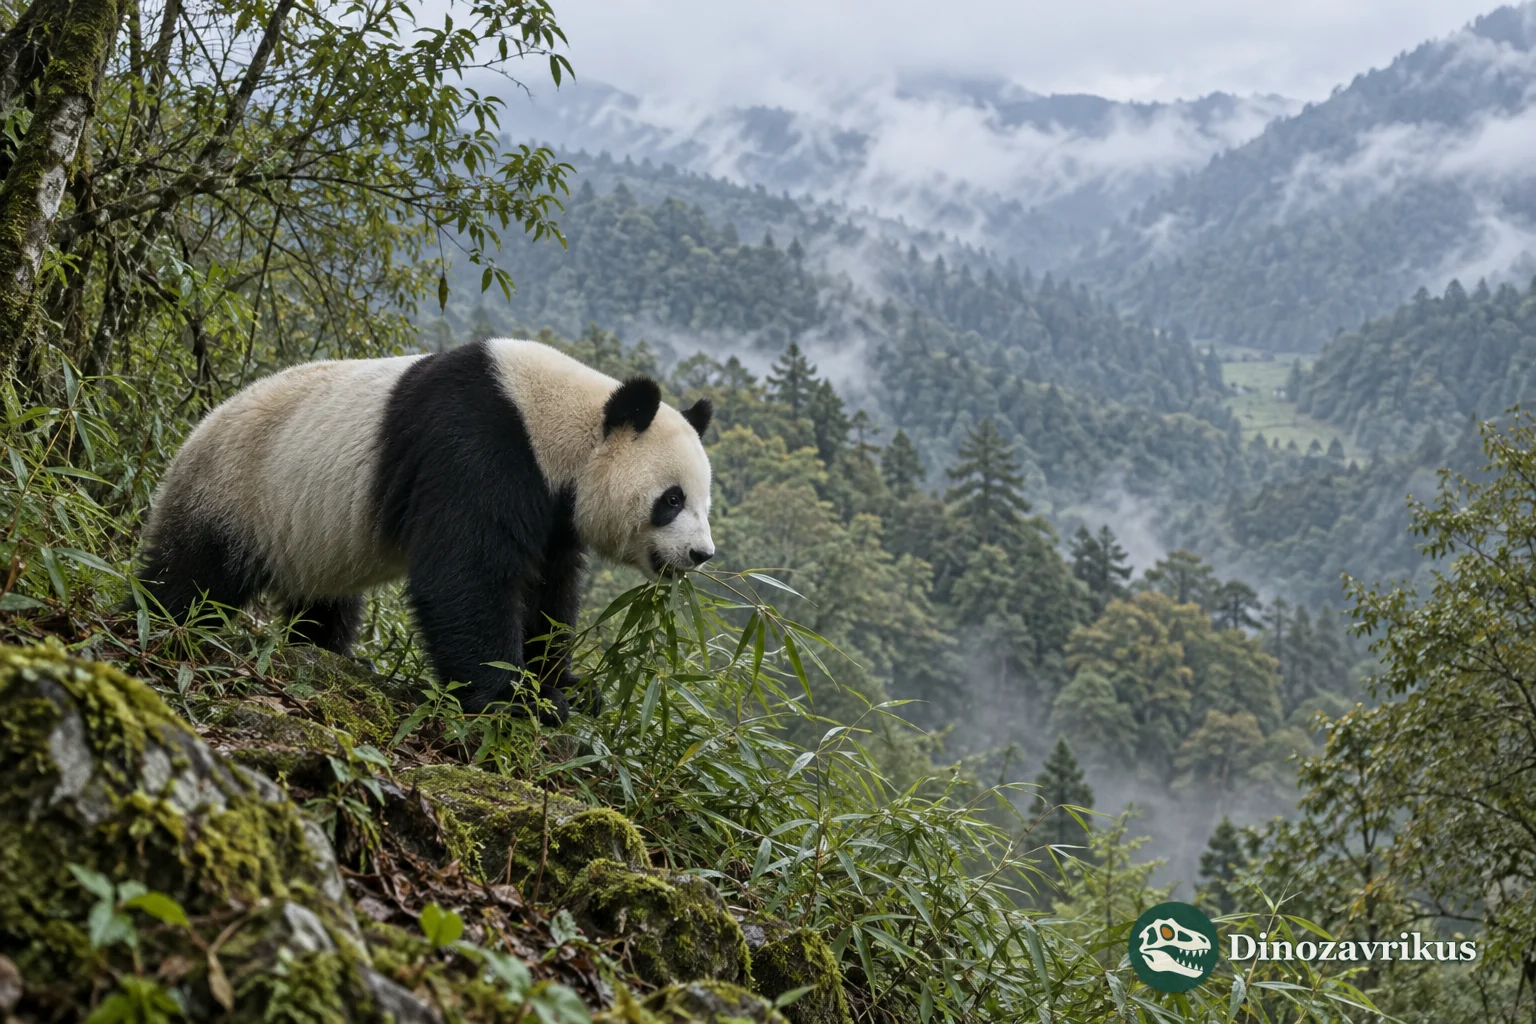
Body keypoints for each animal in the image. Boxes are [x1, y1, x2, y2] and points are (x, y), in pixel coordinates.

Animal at [137, 338, 715, 721]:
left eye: (704, 503)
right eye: (671, 500)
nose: (700, 554)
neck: (556, 421)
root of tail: (191, 434)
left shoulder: (553, 507)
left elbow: (549, 591)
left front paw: (566, 687)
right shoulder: (476, 446)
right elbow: (466, 575)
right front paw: (514, 702)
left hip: (309, 537)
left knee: (325, 606)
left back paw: (323, 647)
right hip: (236, 491)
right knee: (192, 577)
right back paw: (159, 622)